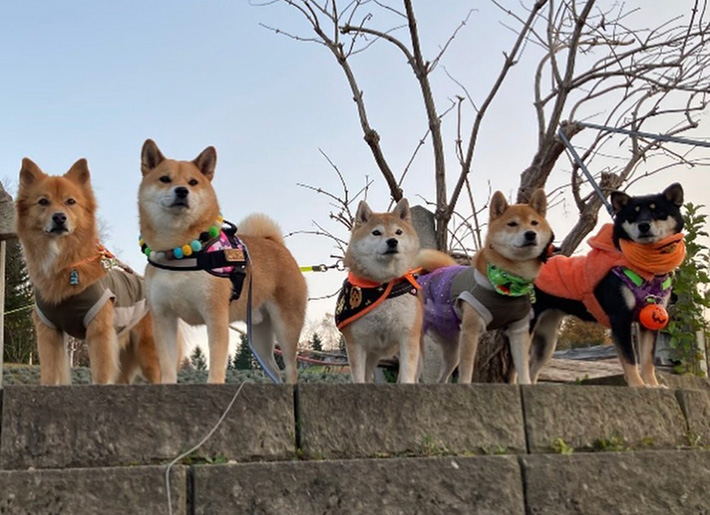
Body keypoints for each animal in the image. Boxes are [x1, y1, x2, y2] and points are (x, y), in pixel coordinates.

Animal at [14, 159, 161, 384]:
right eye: (43, 202)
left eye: (70, 202)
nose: (59, 217)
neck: (65, 265)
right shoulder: (48, 331)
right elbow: (49, 374)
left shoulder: (99, 332)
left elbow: (100, 374)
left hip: (148, 351)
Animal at [138, 139, 308, 384]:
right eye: (165, 179)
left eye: (193, 182)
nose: (182, 190)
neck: (180, 252)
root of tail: (277, 245)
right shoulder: (163, 319)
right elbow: (168, 371)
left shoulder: (215, 317)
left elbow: (216, 371)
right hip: (259, 335)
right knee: (275, 371)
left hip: (286, 327)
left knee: (291, 370)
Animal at [336, 200, 422, 384]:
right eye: (376, 232)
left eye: (398, 232)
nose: (392, 241)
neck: (383, 286)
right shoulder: (356, 343)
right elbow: (359, 378)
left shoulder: (408, 336)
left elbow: (407, 375)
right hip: (372, 355)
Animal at [420, 189, 552, 382]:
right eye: (512, 224)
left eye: (534, 223)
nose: (530, 234)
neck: (509, 282)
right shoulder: (471, 330)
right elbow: (467, 371)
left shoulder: (518, 331)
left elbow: (523, 370)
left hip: (451, 350)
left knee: (442, 376)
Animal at [532, 183, 688, 384]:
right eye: (632, 215)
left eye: (658, 211)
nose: (643, 225)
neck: (645, 266)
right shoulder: (620, 317)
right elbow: (630, 360)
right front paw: (638, 386)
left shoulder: (650, 322)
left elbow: (647, 362)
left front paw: (653, 386)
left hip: (547, 337)